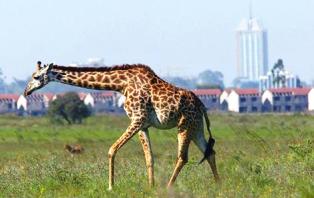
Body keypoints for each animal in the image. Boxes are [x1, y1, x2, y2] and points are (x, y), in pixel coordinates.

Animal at [24, 61, 220, 189]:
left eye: (36, 76)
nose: (26, 91)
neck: (122, 84)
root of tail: (201, 104)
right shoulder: (143, 125)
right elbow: (149, 158)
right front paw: (151, 187)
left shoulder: (138, 118)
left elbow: (112, 149)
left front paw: (111, 187)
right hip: (196, 127)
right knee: (209, 152)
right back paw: (218, 184)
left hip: (184, 125)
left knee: (183, 157)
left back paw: (169, 187)